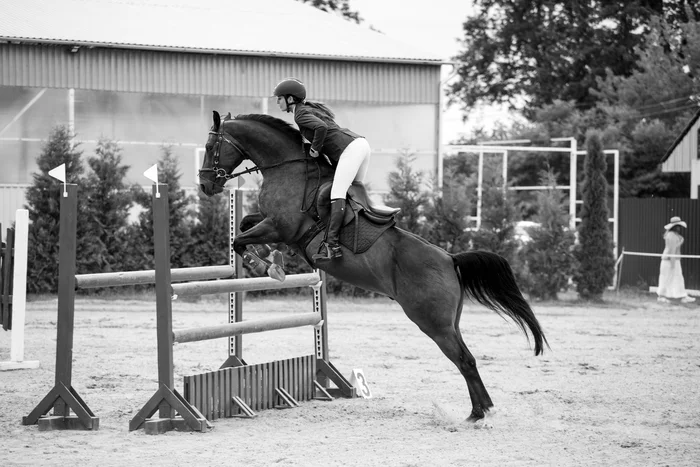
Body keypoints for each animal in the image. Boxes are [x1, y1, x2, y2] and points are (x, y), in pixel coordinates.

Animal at [197, 110, 548, 424]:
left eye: (211, 146)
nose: (205, 186)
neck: (288, 169)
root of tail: (450, 259)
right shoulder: (271, 224)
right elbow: (244, 224)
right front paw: (273, 261)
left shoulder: (282, 227)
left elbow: (239, 240)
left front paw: (267, 266)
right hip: (450, 321)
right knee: (467, 357)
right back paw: (482, 409)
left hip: (432, 321)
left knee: (464, 359)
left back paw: (478, 414)